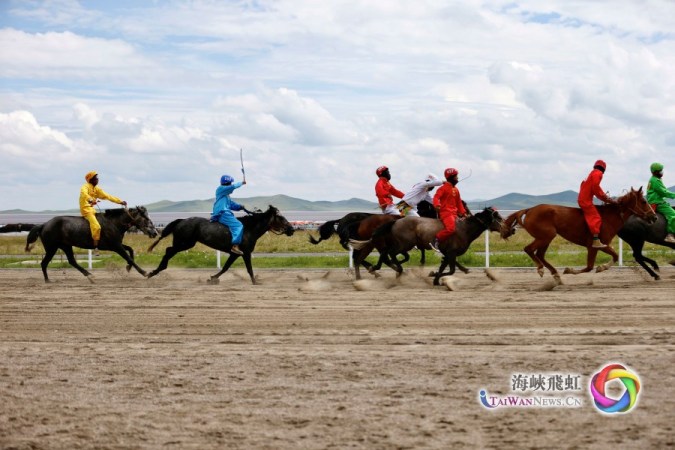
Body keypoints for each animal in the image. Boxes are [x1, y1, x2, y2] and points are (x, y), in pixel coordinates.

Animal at [23, 207, 158, 284]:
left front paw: (128, 268)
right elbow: (129, 256)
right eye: (146, 218)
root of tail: (44, 224)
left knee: (71, 261)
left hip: (65, 246)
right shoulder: (115, 246)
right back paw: (47, 280)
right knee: (44, 263)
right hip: (52, 247)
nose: (155, 232)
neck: (114, 222)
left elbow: (130, 250)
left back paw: (89, 276)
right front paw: (145, 272)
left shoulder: (116, 245)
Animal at [147, 205, 294, 284]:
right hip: (184, 243)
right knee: (168, 251)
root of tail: (181, 220)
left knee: (168, 251)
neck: (249, 228)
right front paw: (255, 282)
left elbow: (225, 268)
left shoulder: (235, 254)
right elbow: (249, 269)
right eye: (281, 218)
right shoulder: (246, 253)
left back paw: (154, 271)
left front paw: (212, 278)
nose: (292, 229)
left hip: (185, 244)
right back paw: (153, 272)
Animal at [504, 185, 656, 284]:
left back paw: (555, 275)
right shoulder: (597, 245)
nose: (654, 217)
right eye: (644, 201)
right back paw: (541, 269)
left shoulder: (598, 246)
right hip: (546, 236)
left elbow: (604, 260)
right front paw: (573, 270)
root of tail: (529, 210)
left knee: (540, 254)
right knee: (529, 249)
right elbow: (593, 265)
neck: (609, 217)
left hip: (546, 237)